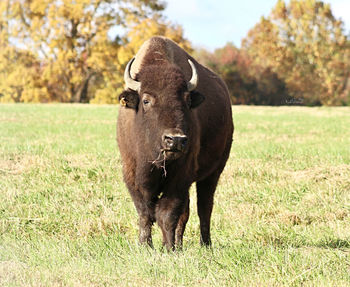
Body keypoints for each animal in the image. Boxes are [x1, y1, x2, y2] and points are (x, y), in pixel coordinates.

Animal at [116, 36, 234, 252]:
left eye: (187, 101)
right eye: (146, 100)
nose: (176, 139)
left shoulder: (180, 177)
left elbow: (167, 214)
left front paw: (168, 248)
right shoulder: (131, 174)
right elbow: (145, 213)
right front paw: (146, 246)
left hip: (213, 173)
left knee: (204, 208)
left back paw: (205, 245)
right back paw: (180, 244)